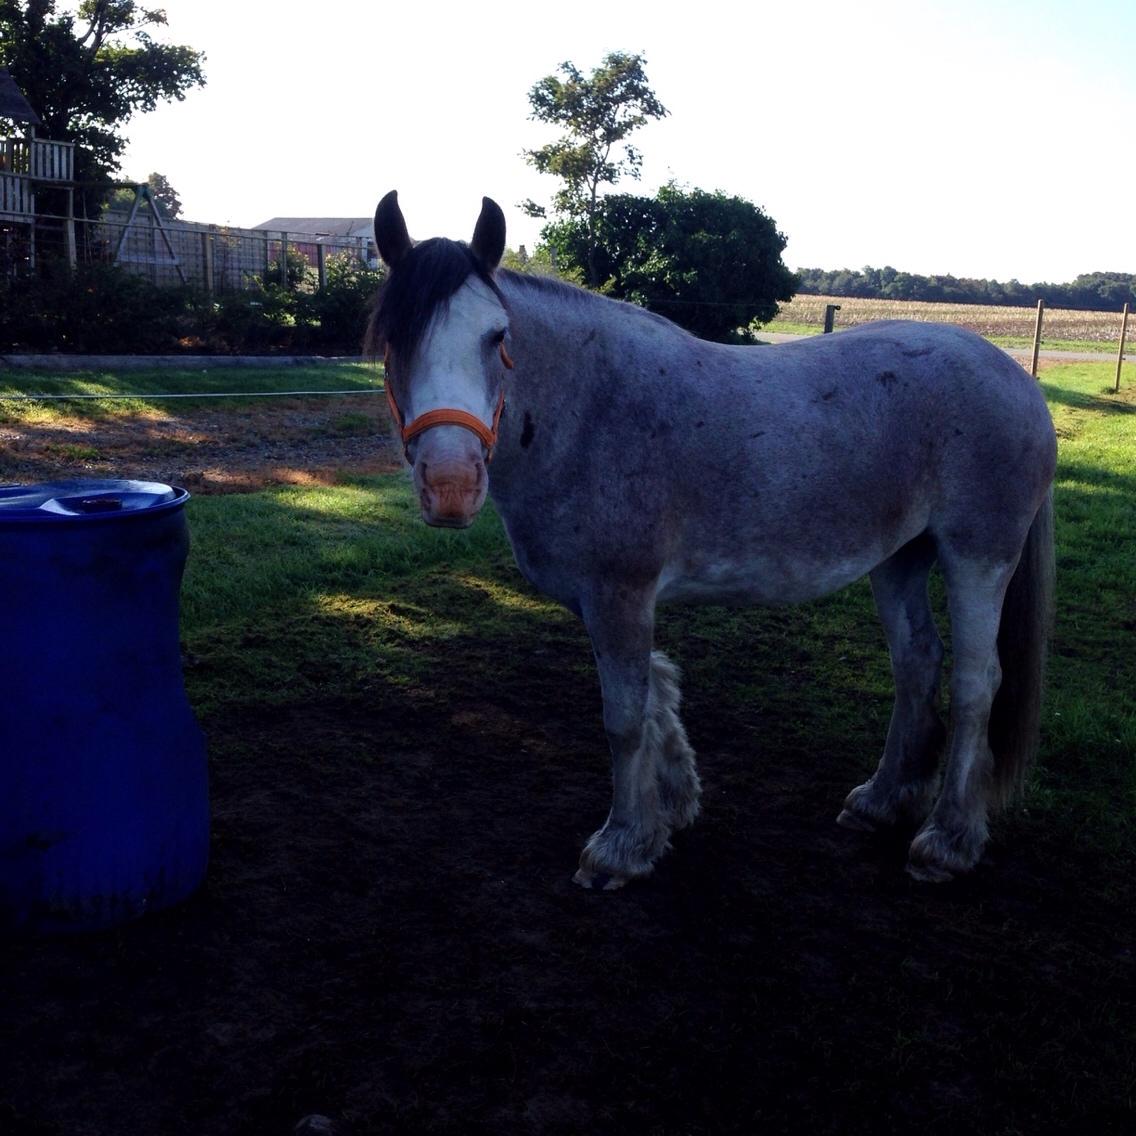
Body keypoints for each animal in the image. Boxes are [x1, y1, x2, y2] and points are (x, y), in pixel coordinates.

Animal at [370, 193, 1054, 886]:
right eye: (392, 337)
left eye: (497, 337)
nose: (451, 483)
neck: (589, 411)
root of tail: (1017, 379)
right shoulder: (606, 600)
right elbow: (655, 692)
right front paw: (669, 810)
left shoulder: (620, 593)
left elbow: (624, 717)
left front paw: (620, 844)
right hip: (898, 560)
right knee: (917, 663)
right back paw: (882, 801)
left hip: (978, 557)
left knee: (976, 684)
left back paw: (948, 838)